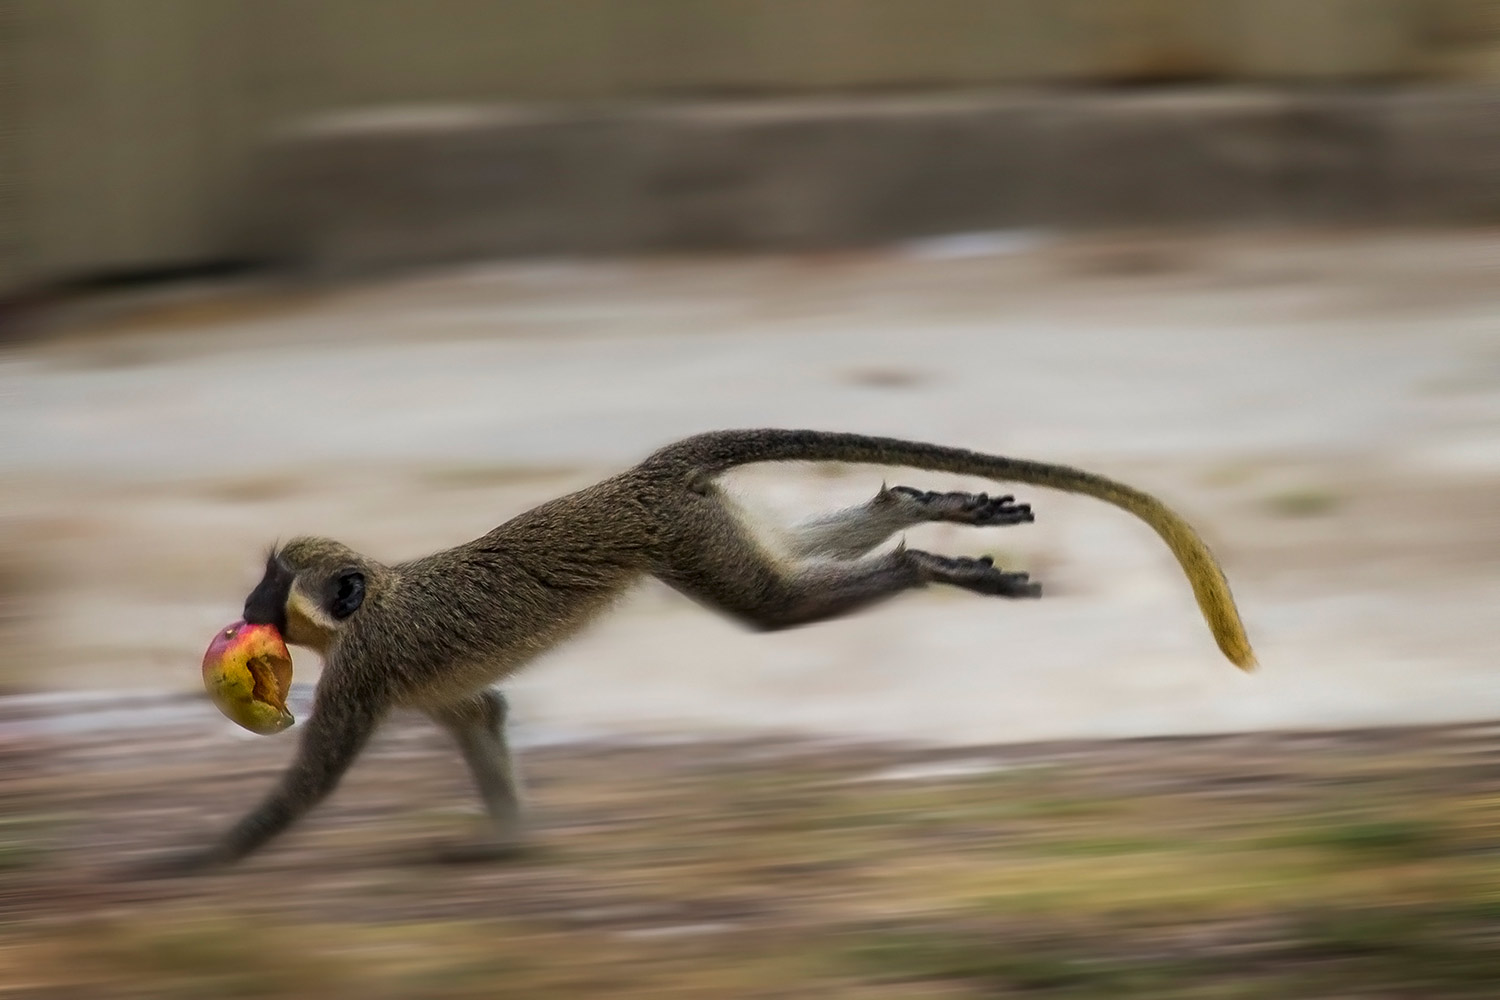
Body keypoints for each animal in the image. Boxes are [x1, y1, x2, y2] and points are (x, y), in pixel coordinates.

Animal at [133, 428, 1254, 876]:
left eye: (272, 592)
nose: (244, 609)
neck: (380, 598)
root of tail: (641, 475)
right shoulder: (422, 683)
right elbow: (483, 715)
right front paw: (505, 848)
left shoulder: (365, 669)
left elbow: (310, 784)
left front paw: (191, 860)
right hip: (696, 524)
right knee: (780, 575)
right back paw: (917, 507)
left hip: (675, 529)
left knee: (775, 610)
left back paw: (923, 562)